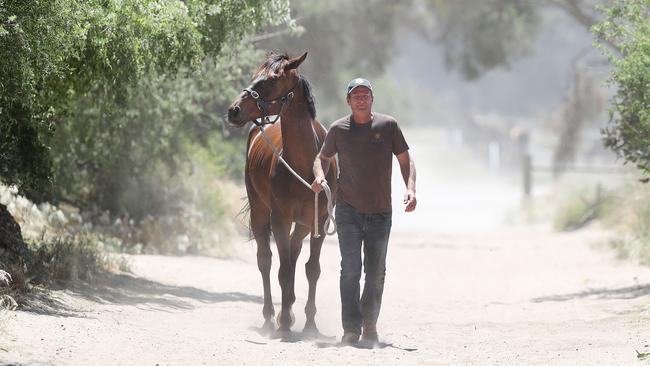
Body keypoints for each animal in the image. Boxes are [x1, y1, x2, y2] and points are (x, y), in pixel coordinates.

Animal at [224, 52, 334, 338]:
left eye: (271, 80)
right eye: (254, 76)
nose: (233, 110)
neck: (306, 166)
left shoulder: (319, 221)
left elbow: (311, 269)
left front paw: (310, 323)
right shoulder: (280, 219)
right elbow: (282, 271)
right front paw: (284, 321)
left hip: (303, 224)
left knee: (294, 256)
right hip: (260, 212)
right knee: (266, 260)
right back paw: (271, 316)